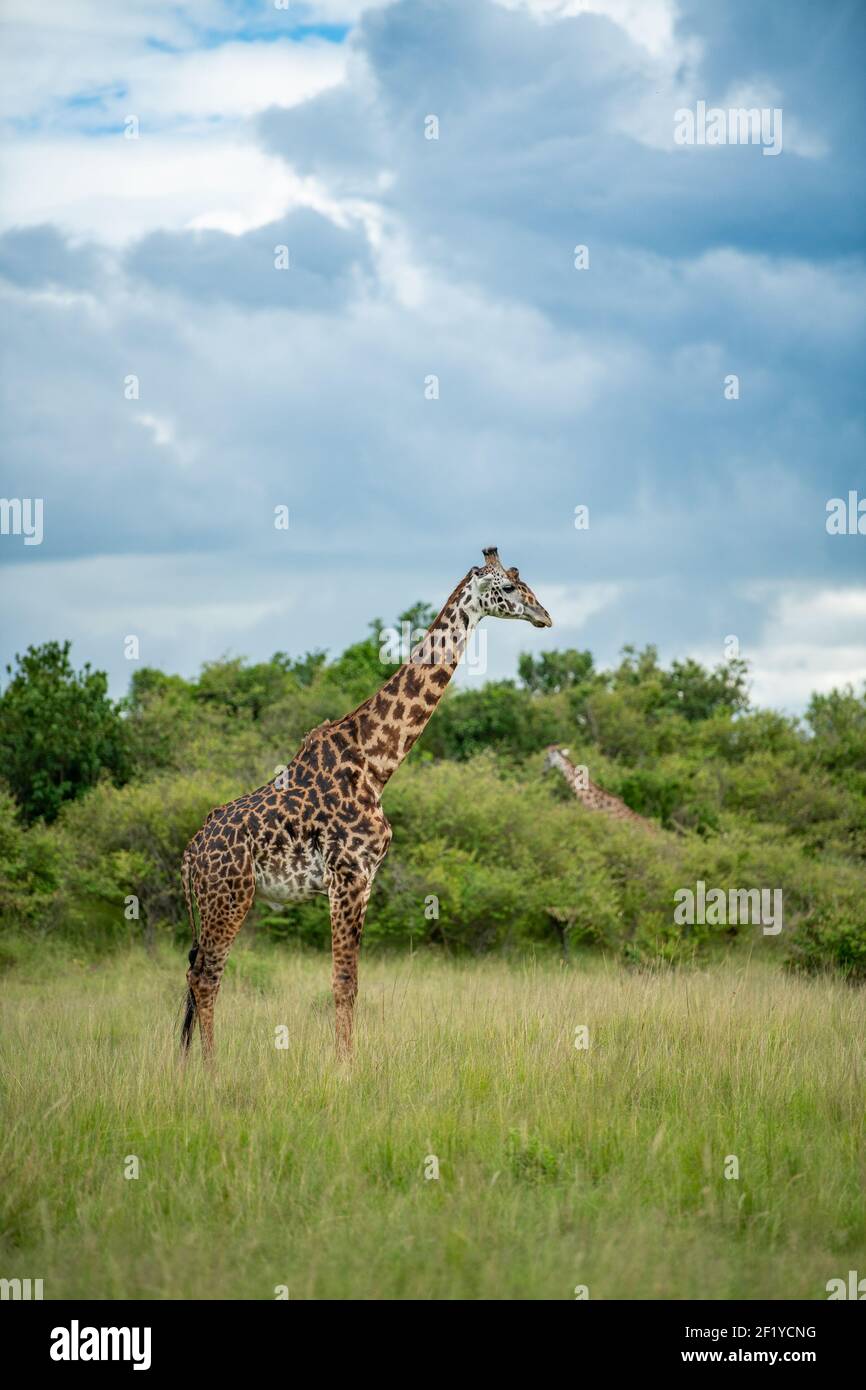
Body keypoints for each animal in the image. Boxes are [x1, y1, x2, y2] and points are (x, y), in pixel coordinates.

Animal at [180, 548, 552, 1060]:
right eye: (510, 587)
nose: (545, 616)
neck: (377, 763)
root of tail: (189, 857)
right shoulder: (348, 875)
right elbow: (344, 982)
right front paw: (345, 1067)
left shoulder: (365, 880)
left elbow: (349, 982)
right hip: (229, 896)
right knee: (206, 977)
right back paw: (212, 1069)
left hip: (214, 902)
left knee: (193, 974)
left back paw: (184, 1065)